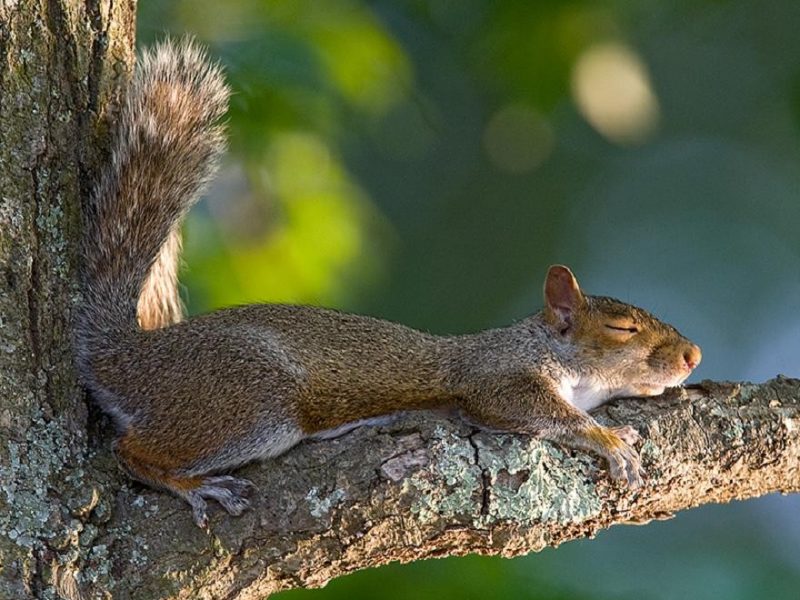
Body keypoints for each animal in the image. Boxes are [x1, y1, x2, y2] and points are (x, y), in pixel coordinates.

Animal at [75, 40, 702, 528]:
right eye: (622, 328)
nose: (693, 356)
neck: (545, 348)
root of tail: (126, 357)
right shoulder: (495, 376)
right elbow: (531, 408)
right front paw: (606, 440)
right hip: (249, 402)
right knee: (131, 451)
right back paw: (192, 484)